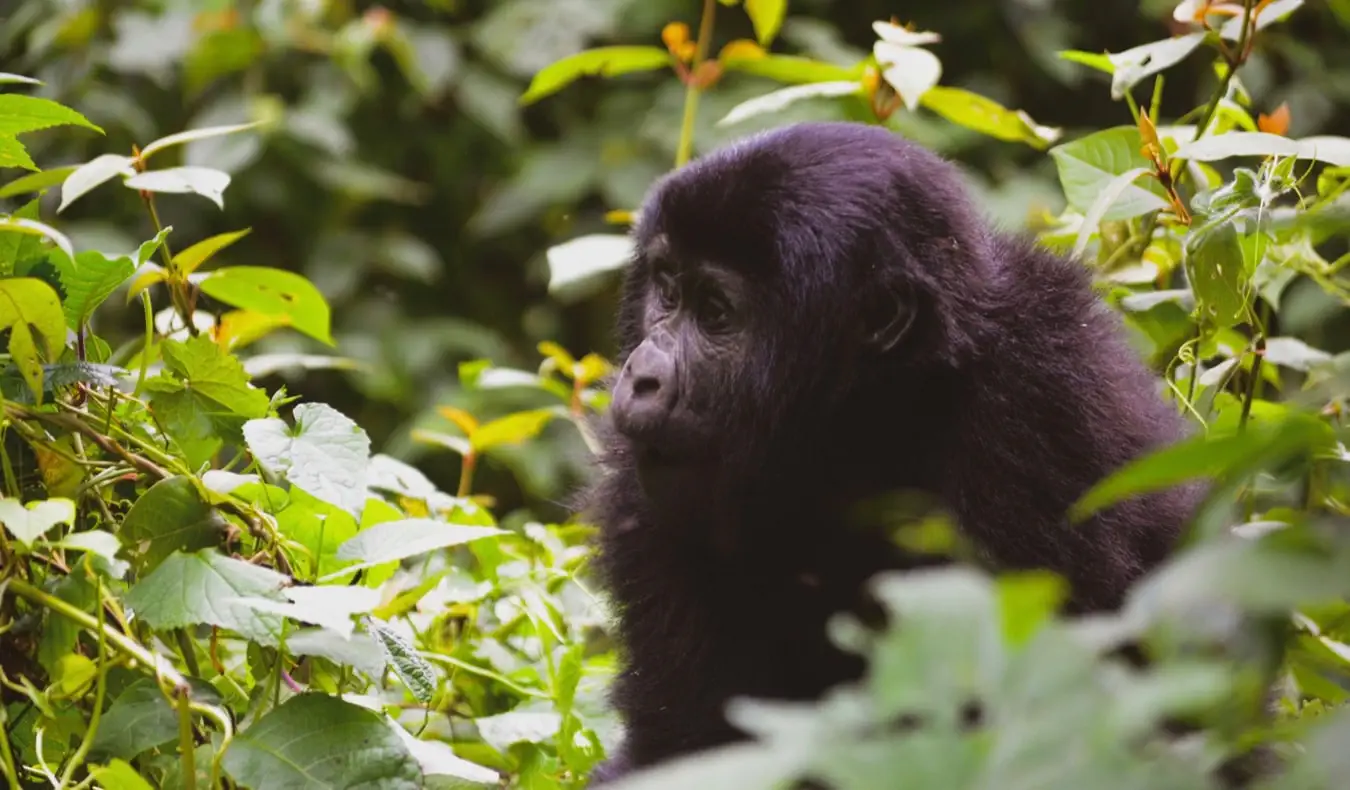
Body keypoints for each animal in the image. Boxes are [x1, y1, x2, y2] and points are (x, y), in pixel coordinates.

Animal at [585, 121, 1198, 783]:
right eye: (667, 289)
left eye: (716, 312)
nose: (642, 376)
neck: (875, 417)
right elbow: (685, 741)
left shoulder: (1042, 411)